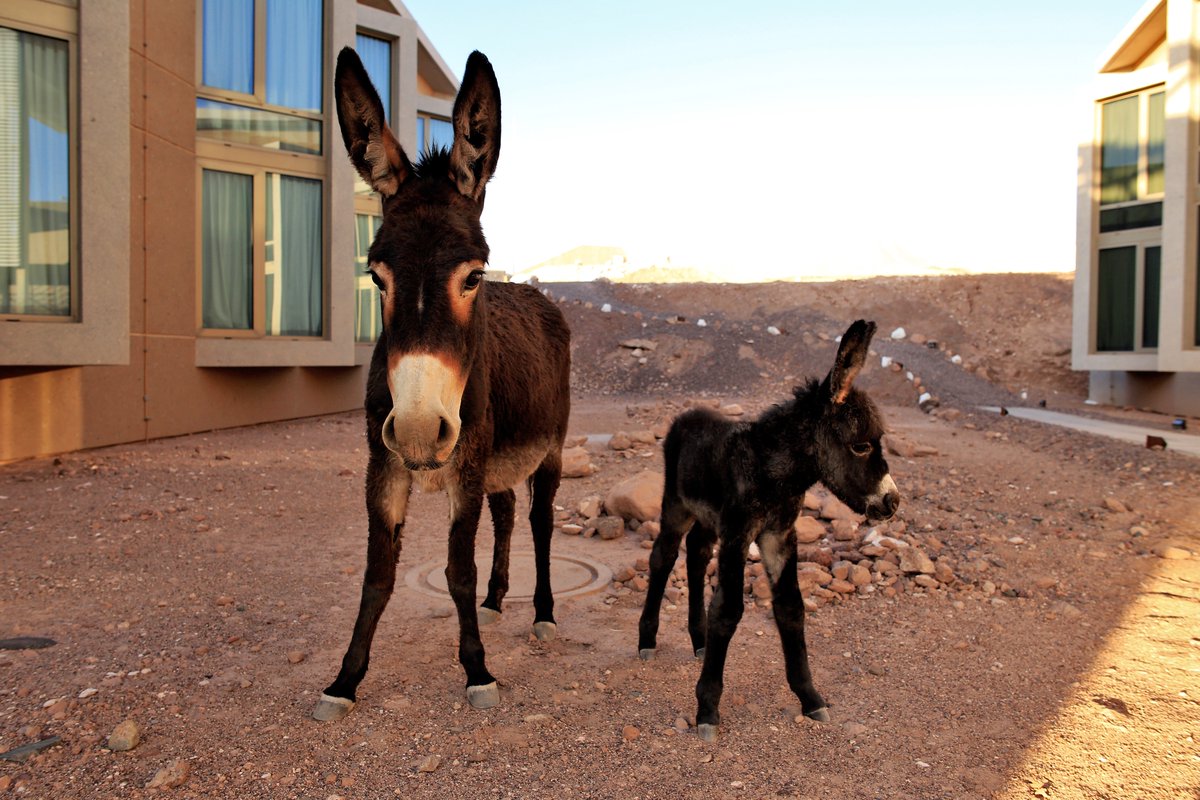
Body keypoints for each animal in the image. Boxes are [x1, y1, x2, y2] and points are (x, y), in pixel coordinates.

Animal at [638, 319, 902, 743]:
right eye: (861, 446)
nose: (892, 502)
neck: (772, 472)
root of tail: (687, 415)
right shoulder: (738, 535)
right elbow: (728, 610)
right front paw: (707, 709)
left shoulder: (779, 536)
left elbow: (791, 607)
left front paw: (810, 698)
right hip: (676, 506)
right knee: (663, 557)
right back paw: (646, 640)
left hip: (708, 520)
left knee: (696, 556)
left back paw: (699, 641)